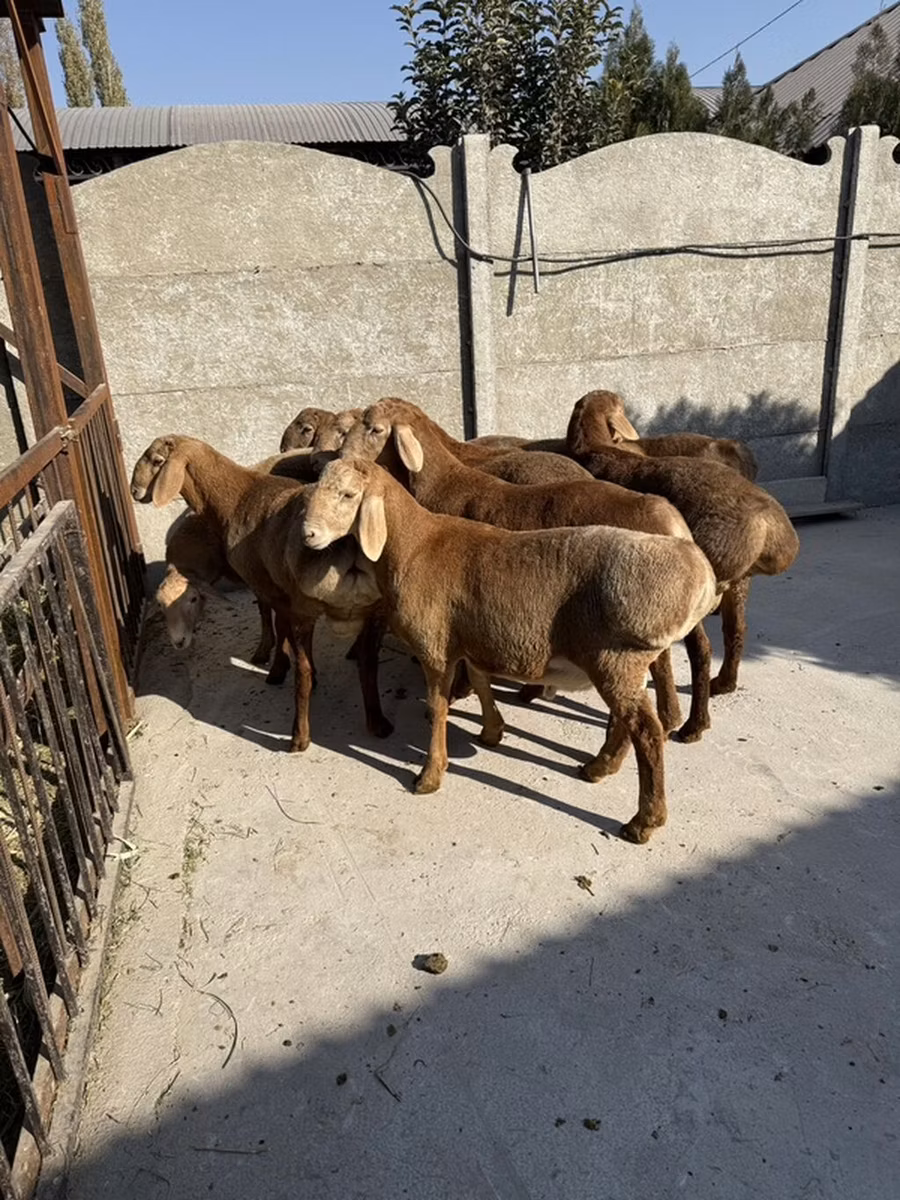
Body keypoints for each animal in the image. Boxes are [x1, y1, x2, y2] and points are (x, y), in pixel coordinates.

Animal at [131, 436, 391, 751]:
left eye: (157, 461)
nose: (134, 490)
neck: (235, 497)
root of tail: (347, 548)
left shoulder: (269, 587)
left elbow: (275, 623)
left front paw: (276, 666)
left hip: (309, 610)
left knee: (304, 670)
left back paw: (299, 736)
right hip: (373, 611)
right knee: (369, 664)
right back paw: (377, 723)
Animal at [301, 458, 718, 843]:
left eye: (348, 495)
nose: (309, 534)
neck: (414, 546)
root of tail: (698, 571)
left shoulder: (434, 647)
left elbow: (437, 706)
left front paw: (429, 776)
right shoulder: (470, 639)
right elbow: (481, 680)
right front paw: (492, 731)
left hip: (616, 659)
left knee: (646, 731)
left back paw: (643, 821)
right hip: (623, 665)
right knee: (627, 721)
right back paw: (599, 768)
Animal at [340, 398, 717, 739]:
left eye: (375, 429)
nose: (342, 456)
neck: (442, 483)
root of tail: (669, 518)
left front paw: (460, 691)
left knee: (662, 662)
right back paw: (683, 721)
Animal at [566, 390, 799, 698]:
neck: (596, 447)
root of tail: (768, 528)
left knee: (703, 644)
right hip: (739, 580)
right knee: (736, 629)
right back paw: (722, 684)